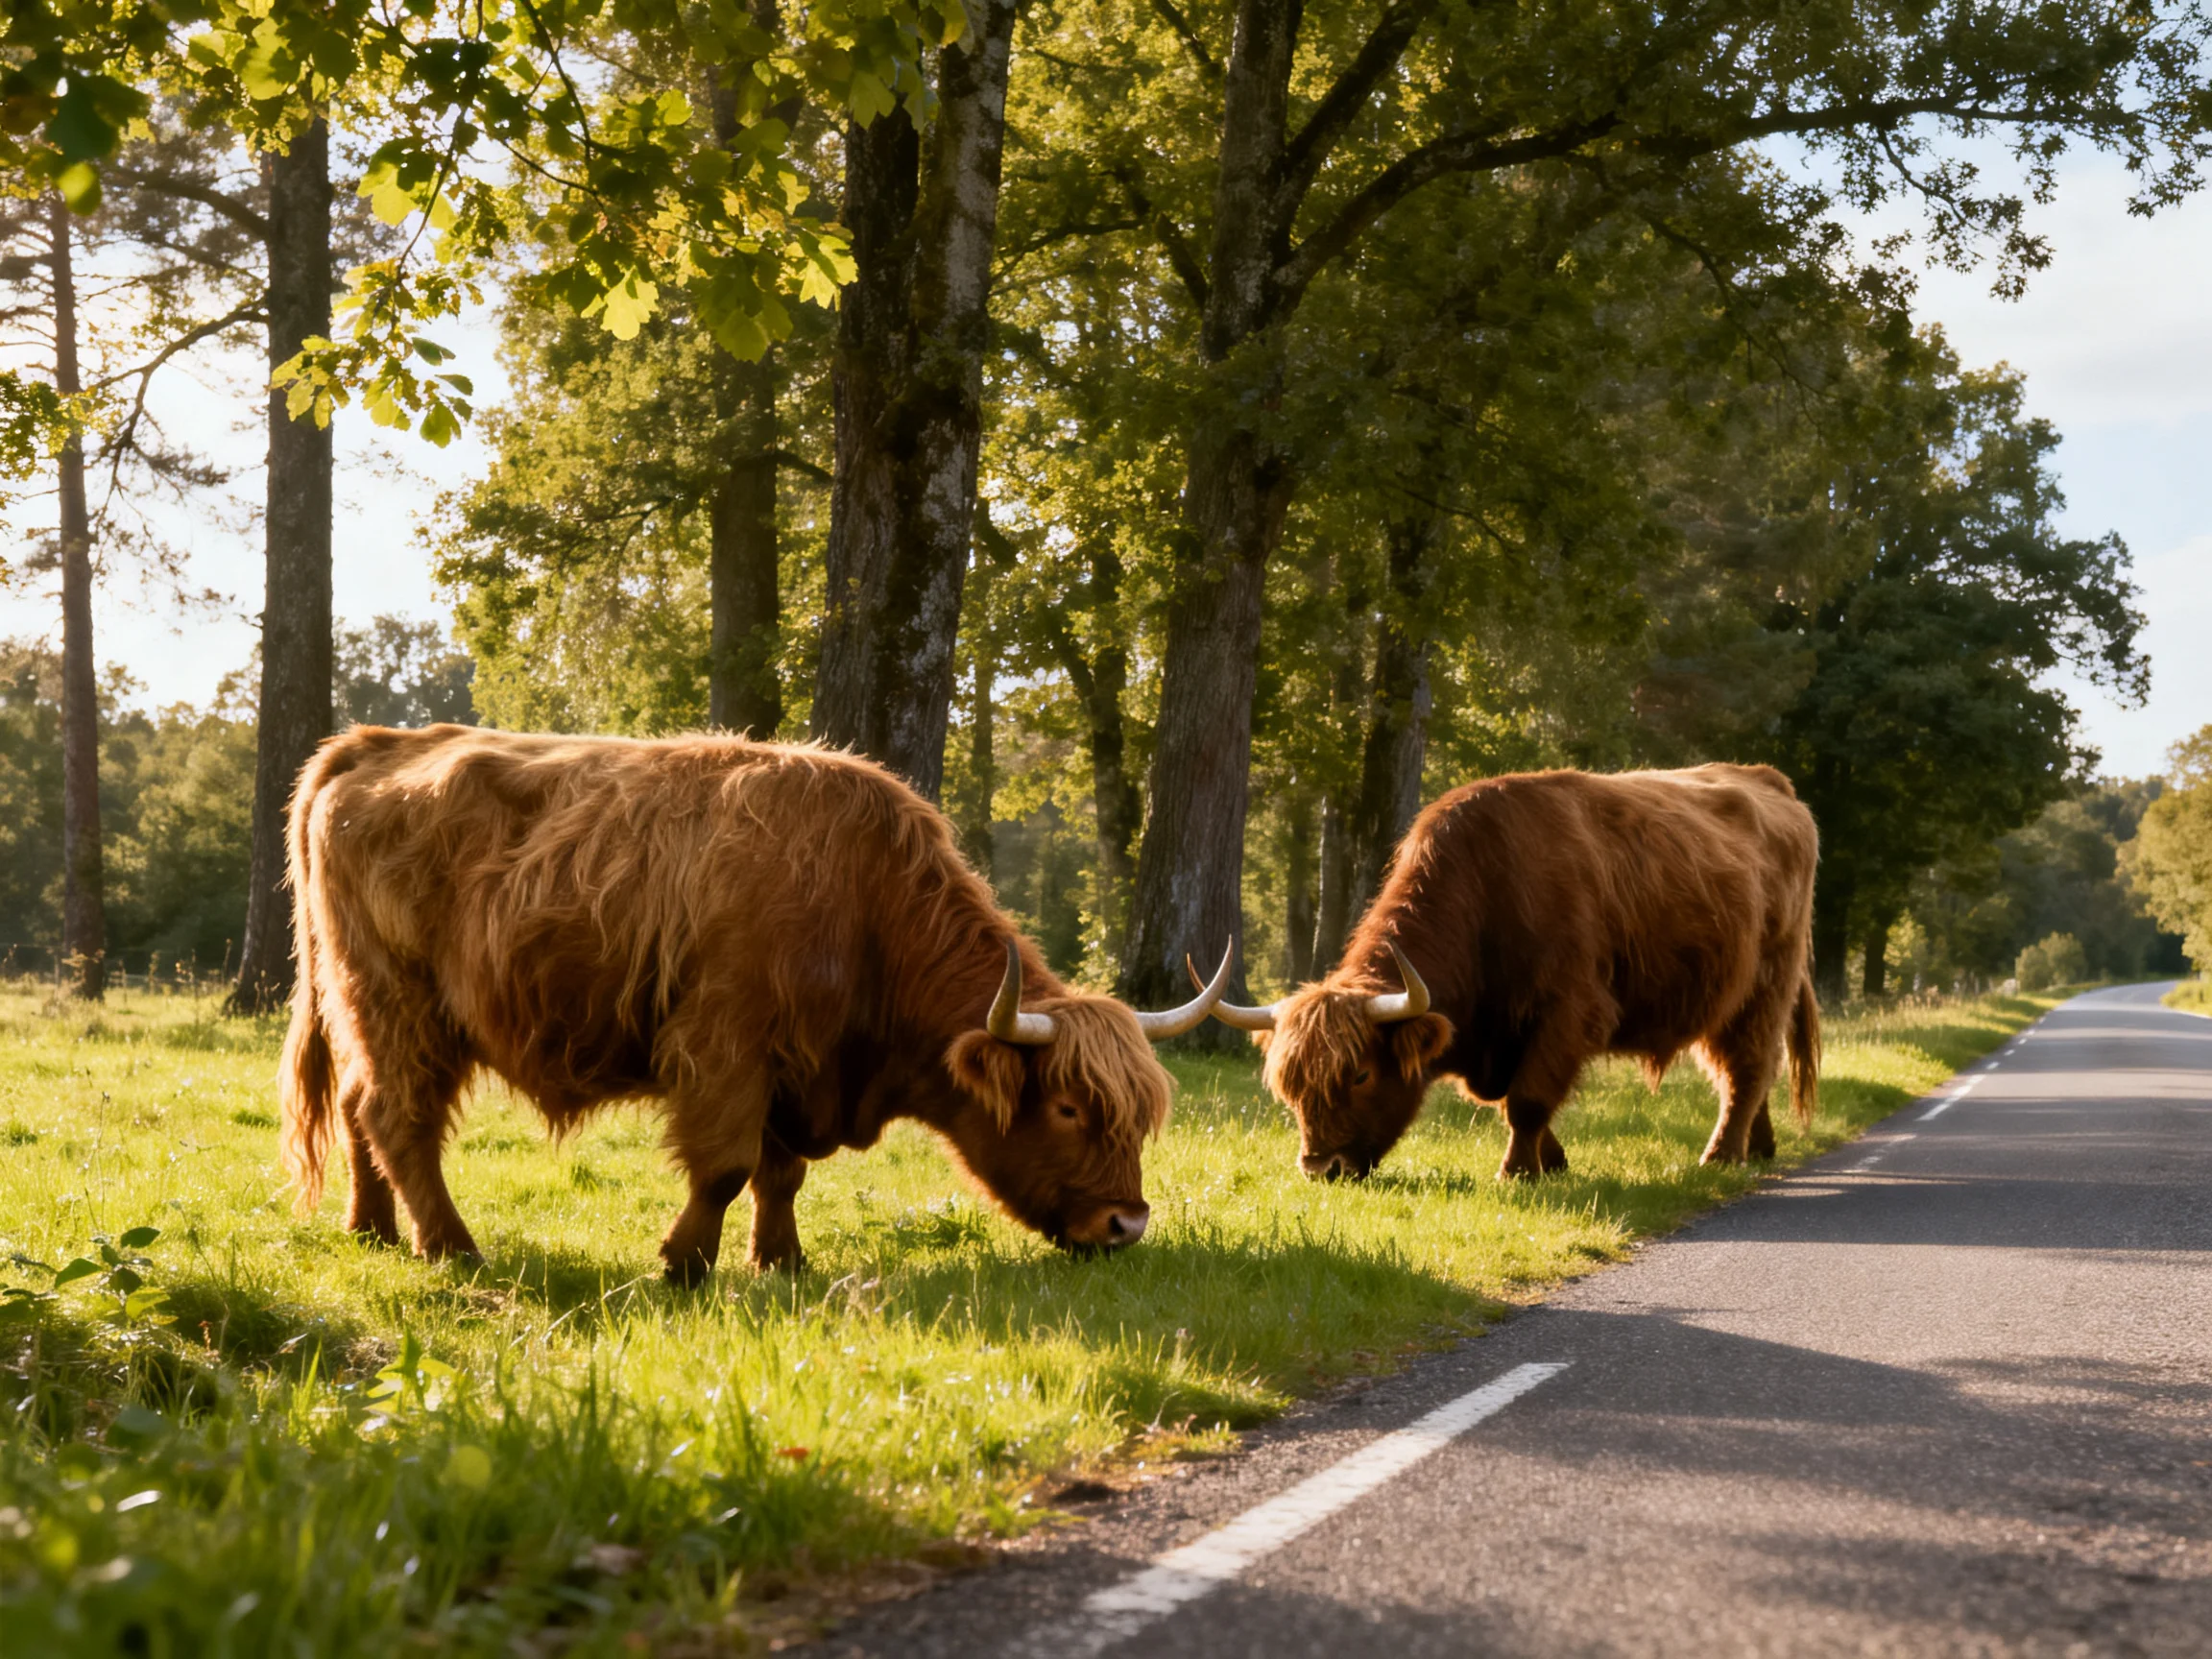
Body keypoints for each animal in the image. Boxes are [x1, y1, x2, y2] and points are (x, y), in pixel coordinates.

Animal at [279, 726, 1231, 1283]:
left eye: (1138, 1118)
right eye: (1068, 1107)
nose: (1126, 1224)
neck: (862, 905)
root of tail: (371, 743)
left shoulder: (796, 1066)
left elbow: (782, 1174)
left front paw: (783, 1261)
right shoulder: (726, 1046)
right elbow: (726, 1167)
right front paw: (685, 1264)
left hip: (358, 1003)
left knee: (362, 1108)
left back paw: (373, 1232)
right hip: (400, 999)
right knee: (398, 1115)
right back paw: (453, 1248)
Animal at [1207, 764, 1820, 1182]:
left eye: (1359, 1075)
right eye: (1290, 1087)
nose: (1321, 1168)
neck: (1488, 890)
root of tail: (1768, 781)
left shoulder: (1569, 1012)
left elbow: (1527, 1098)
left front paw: (1518, 1171)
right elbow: (1514, 1100)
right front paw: (1553, 1161)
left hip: (1765, 986)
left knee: (1747, 1068)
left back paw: (1720, 1155)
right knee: (1745, 1072)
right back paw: (1758, 1147)